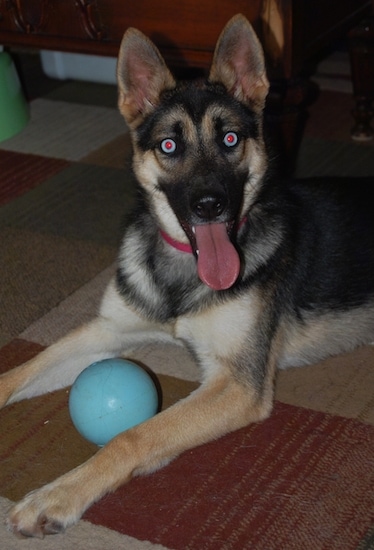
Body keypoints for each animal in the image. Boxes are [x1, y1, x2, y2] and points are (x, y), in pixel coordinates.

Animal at [0, 15, 374, 540]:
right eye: (169, 145)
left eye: (231, 139)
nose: (209, 205)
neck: (183, 271)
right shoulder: (108, 331)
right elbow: (20, 370)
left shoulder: (237, 385)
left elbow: (133, 437)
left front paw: (56, 495)